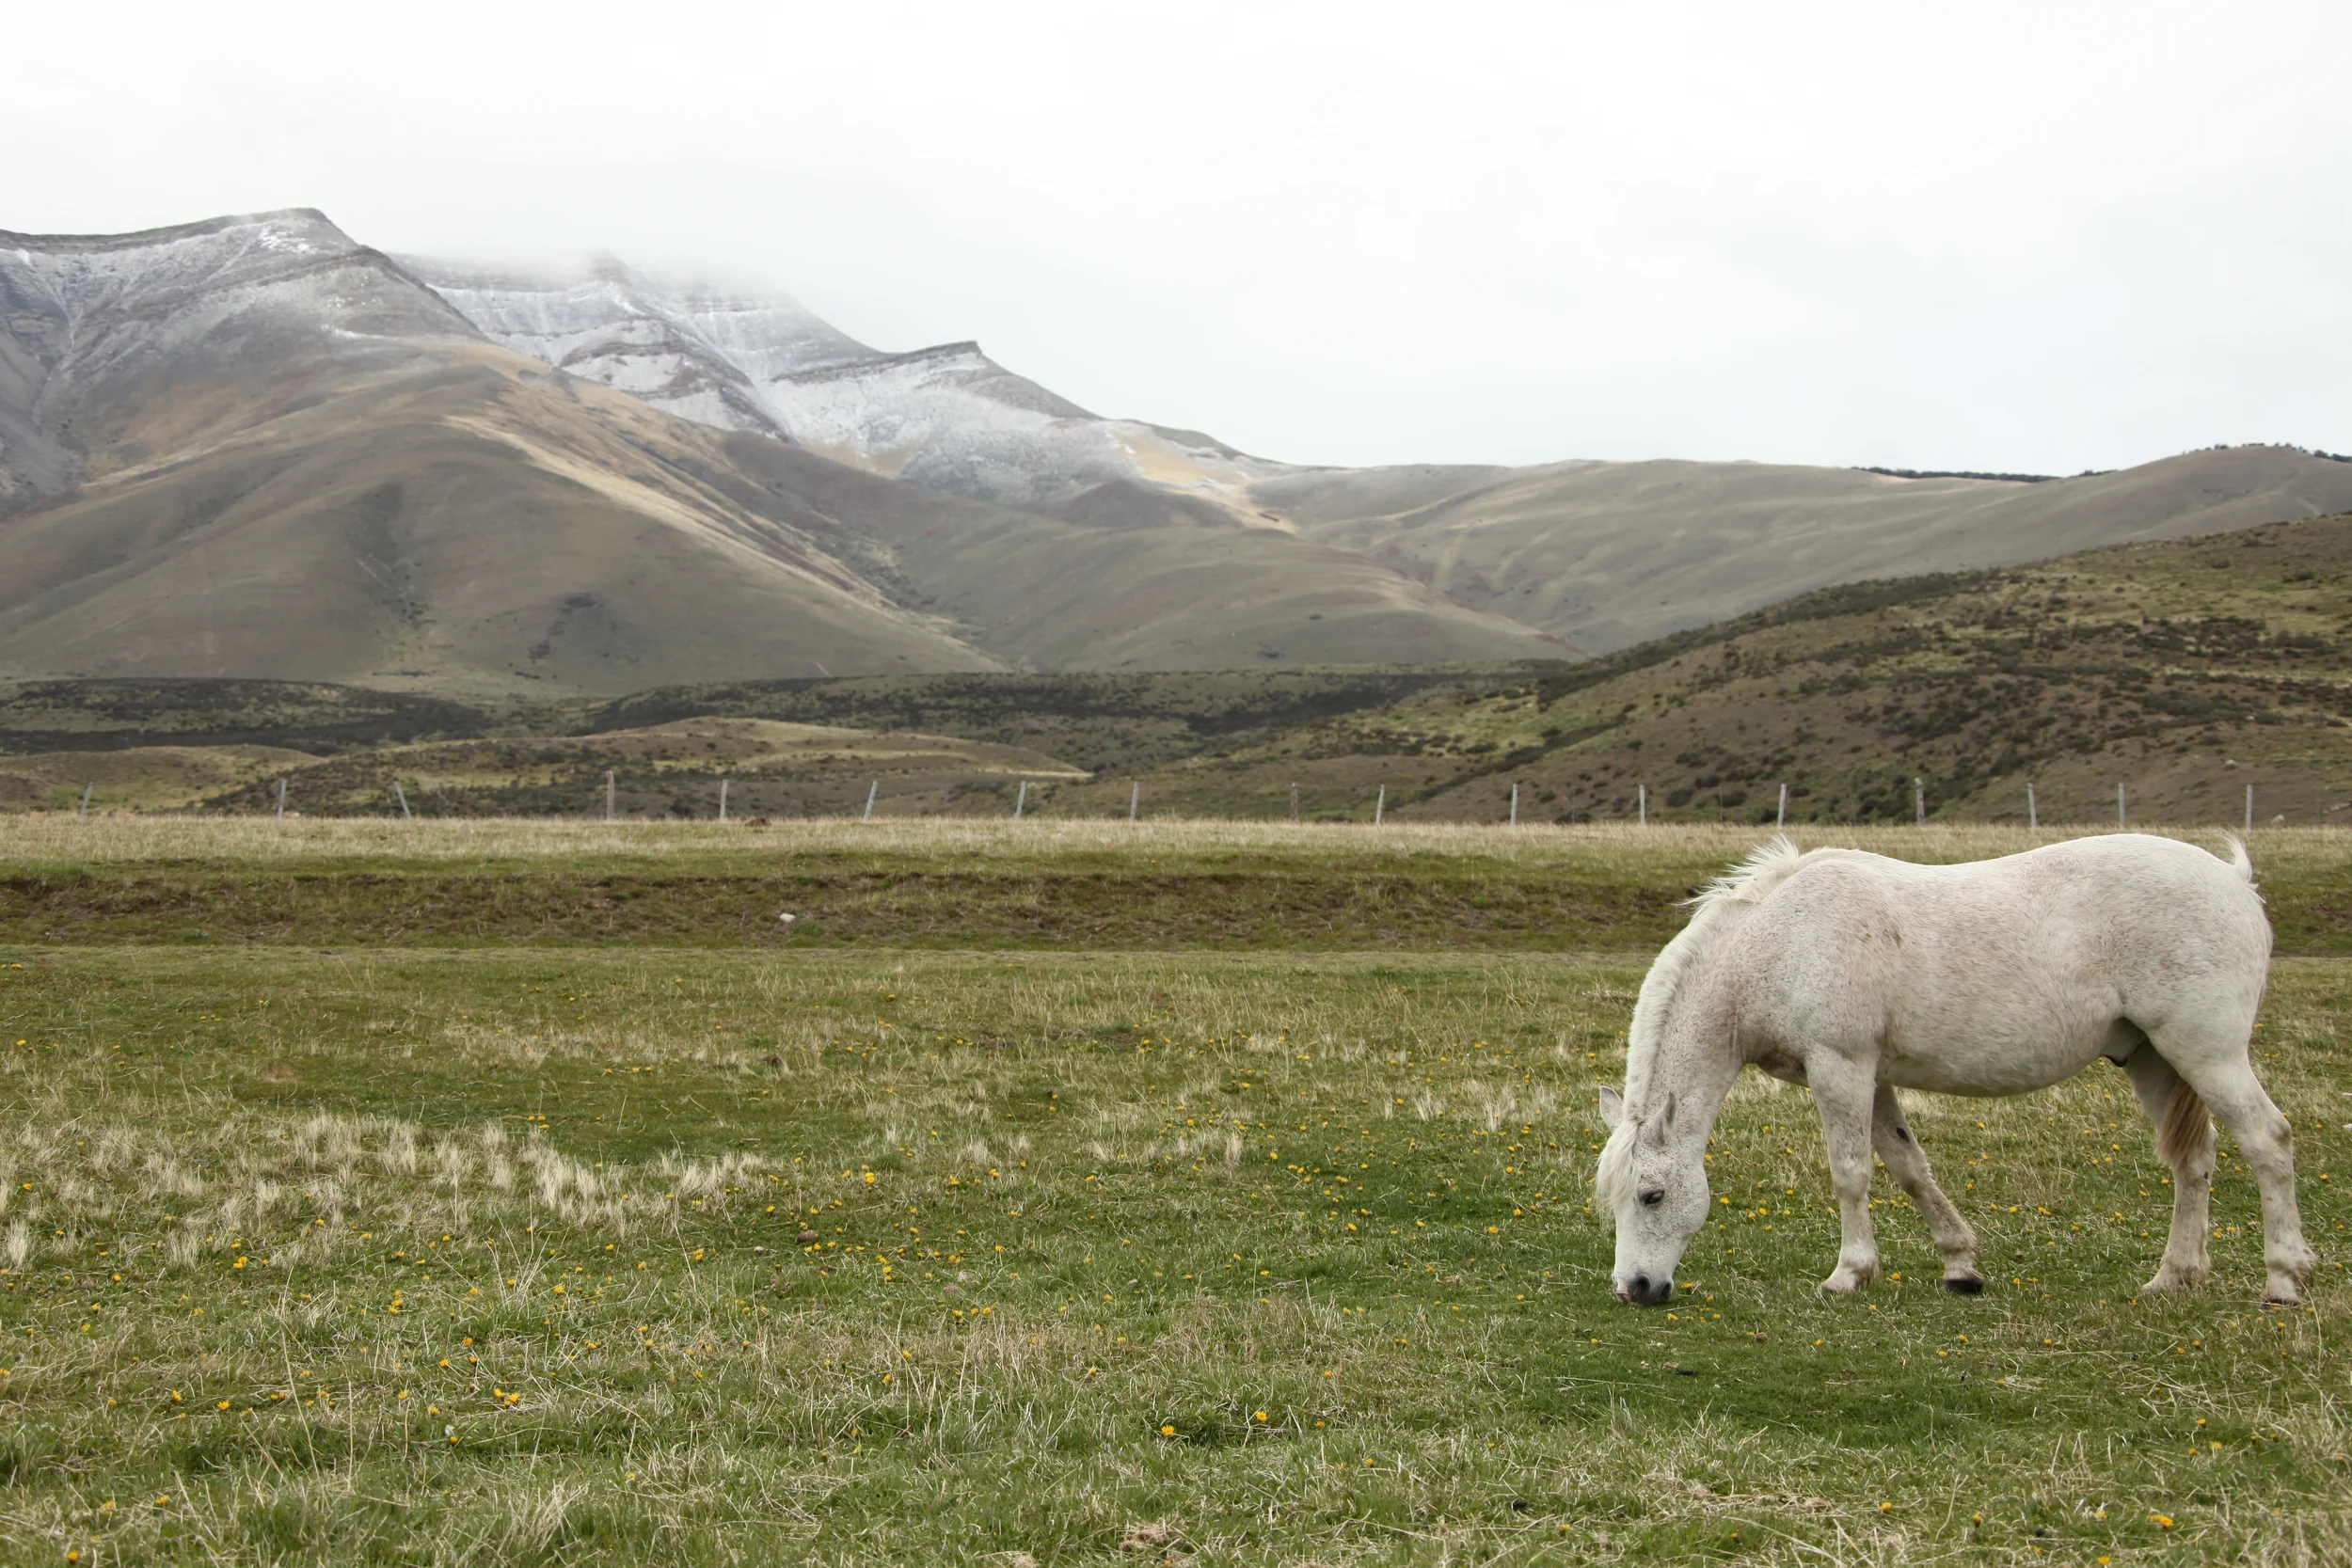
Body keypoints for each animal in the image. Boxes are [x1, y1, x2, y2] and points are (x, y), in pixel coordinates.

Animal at [1594, 833, 2314, 1307]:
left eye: (1652, 1195)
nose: (1635, 1288)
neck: (1774, 943)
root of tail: (2237, 882)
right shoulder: (1874, 1078)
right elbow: (1910, 1167)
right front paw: (1960, 1263)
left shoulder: (1840, 1068)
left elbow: (1850, 1173)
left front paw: (1849, 1272)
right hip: (2154, 1059)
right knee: (2194, 1160)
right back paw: (2174, 1276)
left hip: (2207, 1052)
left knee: (2267, 1140)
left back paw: (2283, 1279)